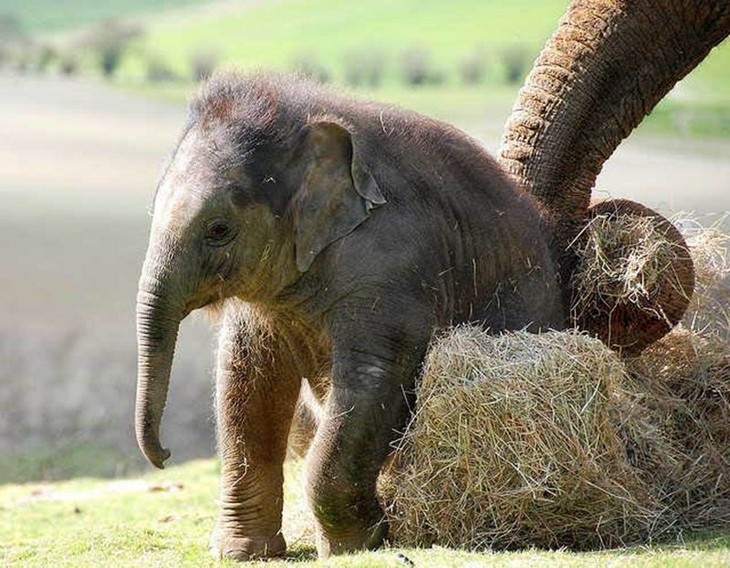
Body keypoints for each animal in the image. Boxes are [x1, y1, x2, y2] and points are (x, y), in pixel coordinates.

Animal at [134, 72, 560, 560]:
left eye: (219, 230)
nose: (164, 456)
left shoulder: (391, 264)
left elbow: (369, 379)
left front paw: (360, 544)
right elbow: (246, 380)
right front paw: (243, 554)